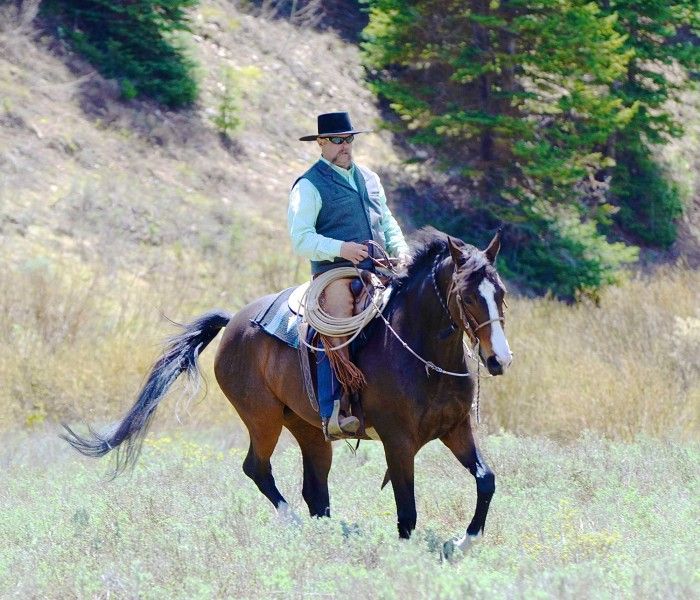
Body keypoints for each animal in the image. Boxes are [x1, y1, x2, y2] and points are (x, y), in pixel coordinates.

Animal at [63, 229, 512, 552]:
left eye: (501, 293)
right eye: (466, 295)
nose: (498, 360)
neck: (422, 355)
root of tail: (234, 322)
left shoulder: (455, 430)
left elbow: (486, 480)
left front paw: (461, 543)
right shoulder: (398, 442)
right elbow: (407, 511)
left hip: (310, 429)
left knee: (314, 490)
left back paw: (332, 537)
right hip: (262, 420)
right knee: (257, 469)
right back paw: (299, 526)